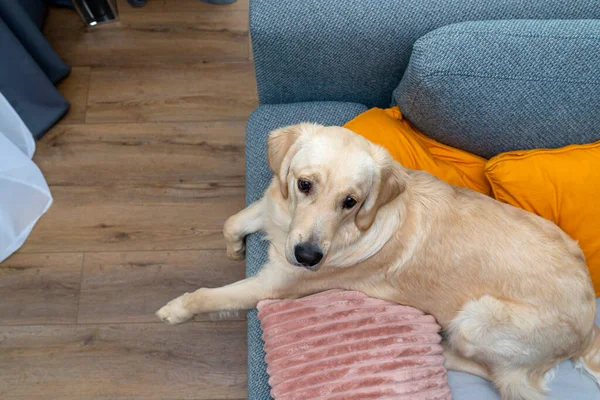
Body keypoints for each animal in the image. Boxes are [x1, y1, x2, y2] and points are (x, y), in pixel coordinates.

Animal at [156, 123, 600, 398]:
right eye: (304, 184)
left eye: (351, 202)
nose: (309, 257)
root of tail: (588, 326)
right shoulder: (276, 217)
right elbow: (232, 222)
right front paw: (234, 248)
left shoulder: (275, 284)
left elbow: (208, 296)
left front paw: (175, 309)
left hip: (477, 320)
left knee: (503, 377)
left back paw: (442, 346)